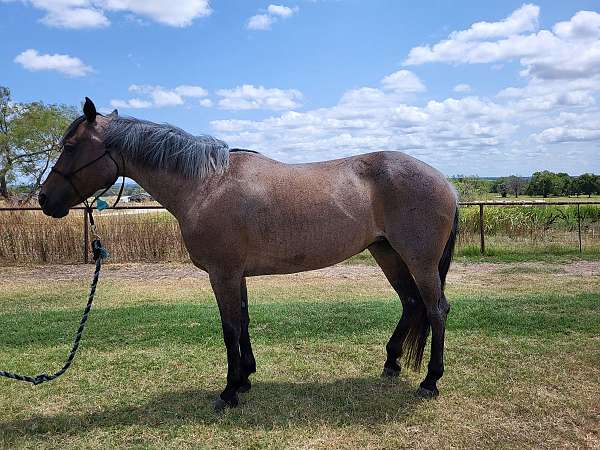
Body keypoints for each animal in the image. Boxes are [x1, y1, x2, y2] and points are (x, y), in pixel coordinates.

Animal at [38, 98, 460, 412]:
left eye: (71, 147)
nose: (44, 199)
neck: (206, 184)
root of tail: (445, 181)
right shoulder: (235, 274)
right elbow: (243, 321)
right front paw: (245, 379)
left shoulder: (222, 273)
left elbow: (229, 328)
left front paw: (228, 392)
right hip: (386, 253)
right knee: (411, 303)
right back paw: (391, 363)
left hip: (418, 260)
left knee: (436, 308)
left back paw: (430, 381)